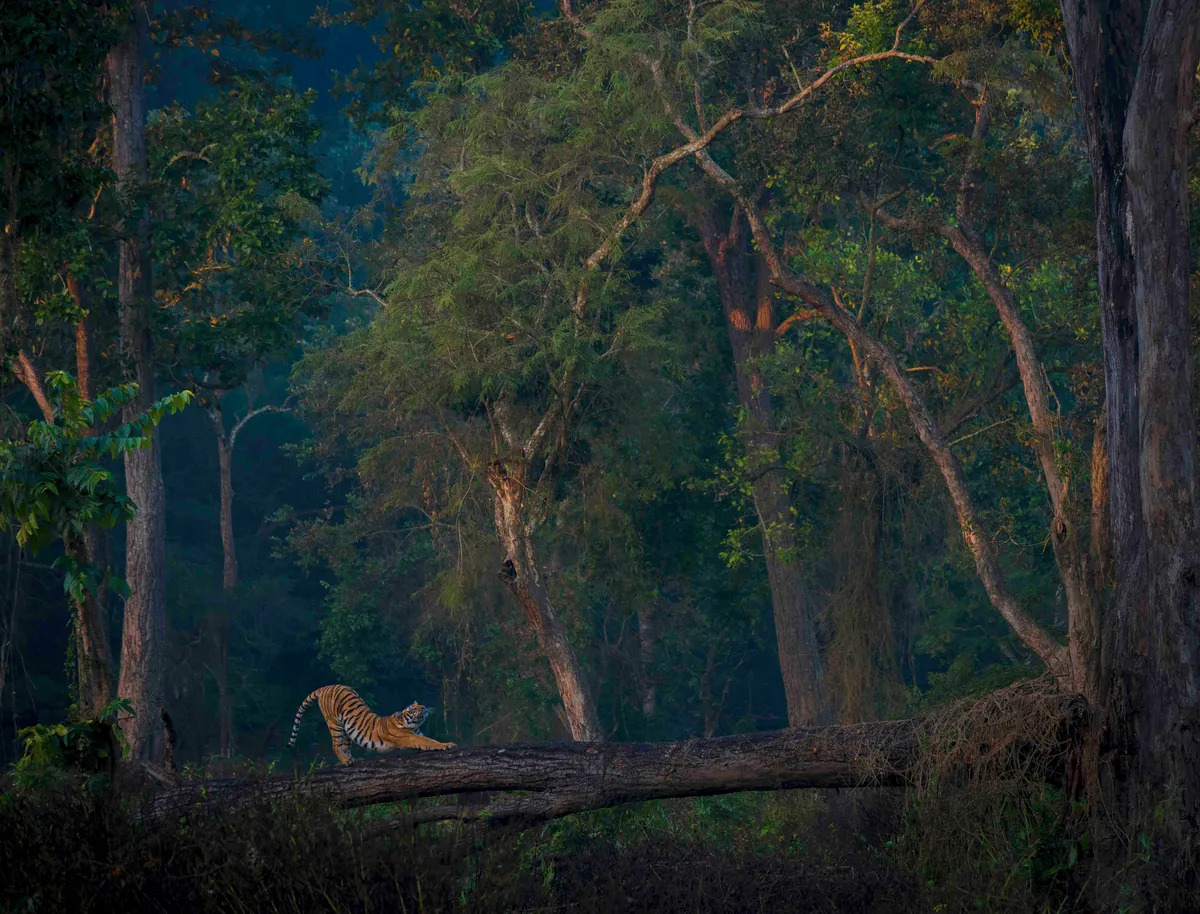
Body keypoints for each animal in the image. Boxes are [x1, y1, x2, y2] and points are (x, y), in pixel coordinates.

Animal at [288, 681, 456, 762]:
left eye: (419, 705)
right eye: (412, 708)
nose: (424, 707)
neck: (410, 725)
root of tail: (326, 687)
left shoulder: (417, 733)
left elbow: (429, 740)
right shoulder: (410, 737)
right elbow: (429, 741)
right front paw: (446, 745)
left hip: (347, 730)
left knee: (345, 746)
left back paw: (352, 760)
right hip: (335, 724)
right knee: (336, 745)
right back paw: (346, 761)